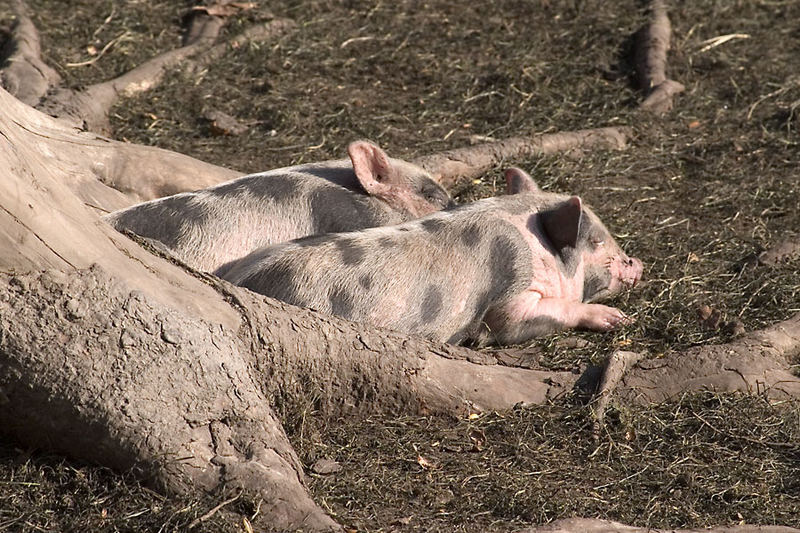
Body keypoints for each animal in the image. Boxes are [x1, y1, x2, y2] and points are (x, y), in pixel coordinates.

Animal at [216, 168, 640, 348]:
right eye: (596, 241)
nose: (637, 263)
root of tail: (240, 279)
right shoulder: (507, 303)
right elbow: (519, 321)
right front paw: (619, 320)